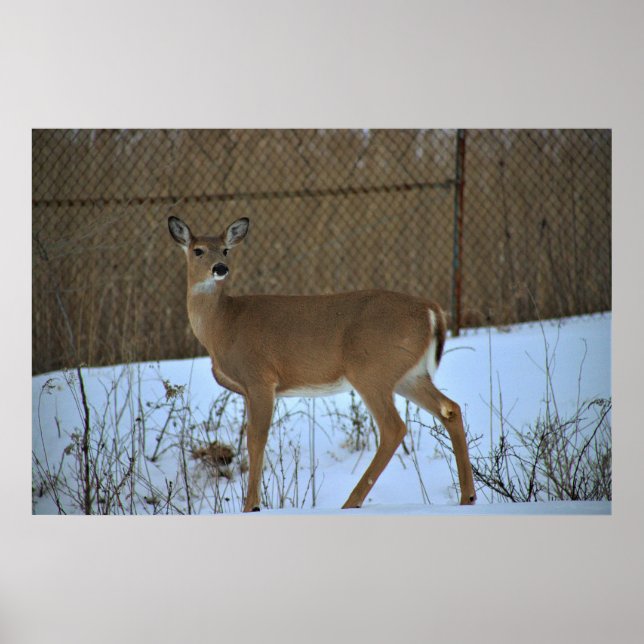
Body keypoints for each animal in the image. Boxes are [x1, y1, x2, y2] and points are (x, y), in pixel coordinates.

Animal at [168, 215, 476, 512]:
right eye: (198, 250)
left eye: (225, 249)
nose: (220, 268)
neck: (222, 325)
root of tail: (432, 311)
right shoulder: (247, 389)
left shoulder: (260, 378)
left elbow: (256, 439)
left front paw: (251, 506)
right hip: (409, 375)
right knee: (450, 409)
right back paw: (468, 497)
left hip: (371, 370)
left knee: (393, 427)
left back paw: (351, 502)